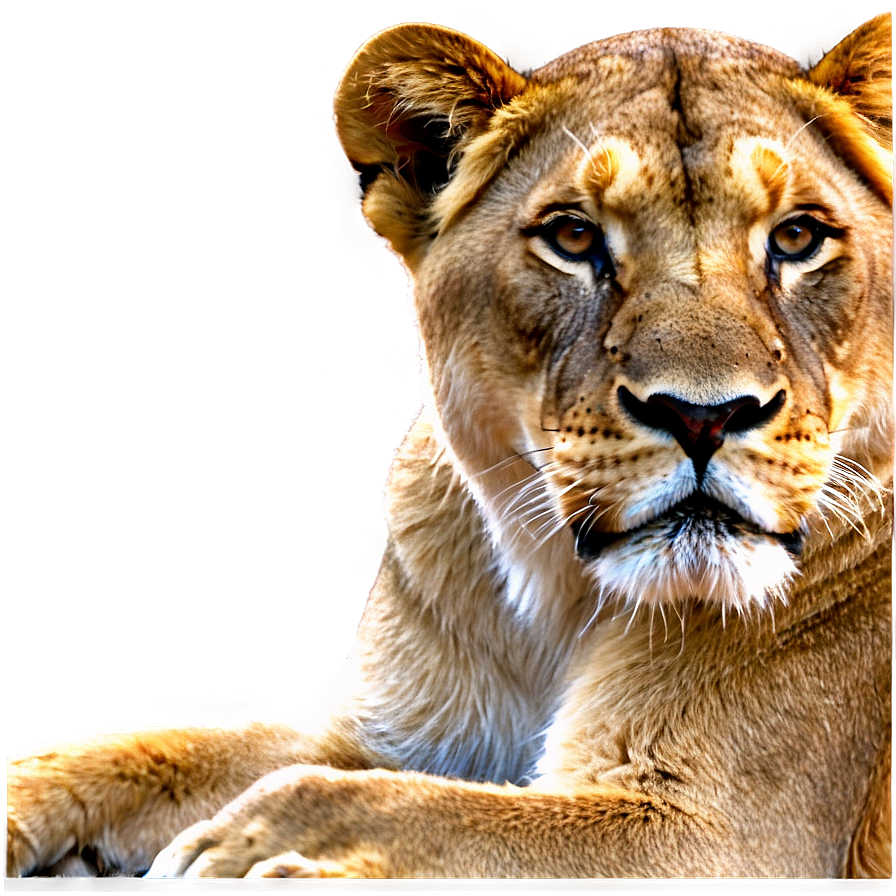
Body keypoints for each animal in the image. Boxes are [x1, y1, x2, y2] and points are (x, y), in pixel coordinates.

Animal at [6, 15, 893, 879]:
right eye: (573, 237)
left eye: (798, 237)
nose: (704, 415)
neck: (557, 602)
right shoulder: (379, 732)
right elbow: (149, 751)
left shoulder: (725, 836)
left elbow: (435, 812)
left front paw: (250, 843)